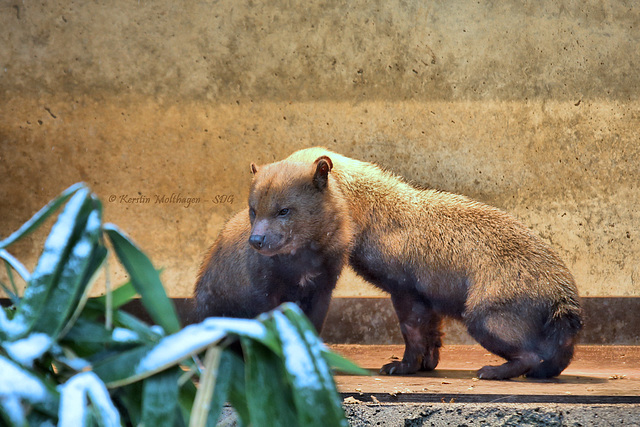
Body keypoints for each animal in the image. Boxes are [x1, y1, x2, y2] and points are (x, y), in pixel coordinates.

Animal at [195, 155, 352, 332]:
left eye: (284, 210)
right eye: (253, 210)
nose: (256, 240)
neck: (302, 260)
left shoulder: (324, 288)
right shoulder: (264, 291)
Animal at [288, 148, 584, 382]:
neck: (376, 213)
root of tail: (563, 298)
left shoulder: (405, 290)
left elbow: (413, 331)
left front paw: (402, 366)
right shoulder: (427, 296)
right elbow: (431, 331)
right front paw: (427, 363)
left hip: (484, 316)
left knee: (530, 355)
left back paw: (493, 371)